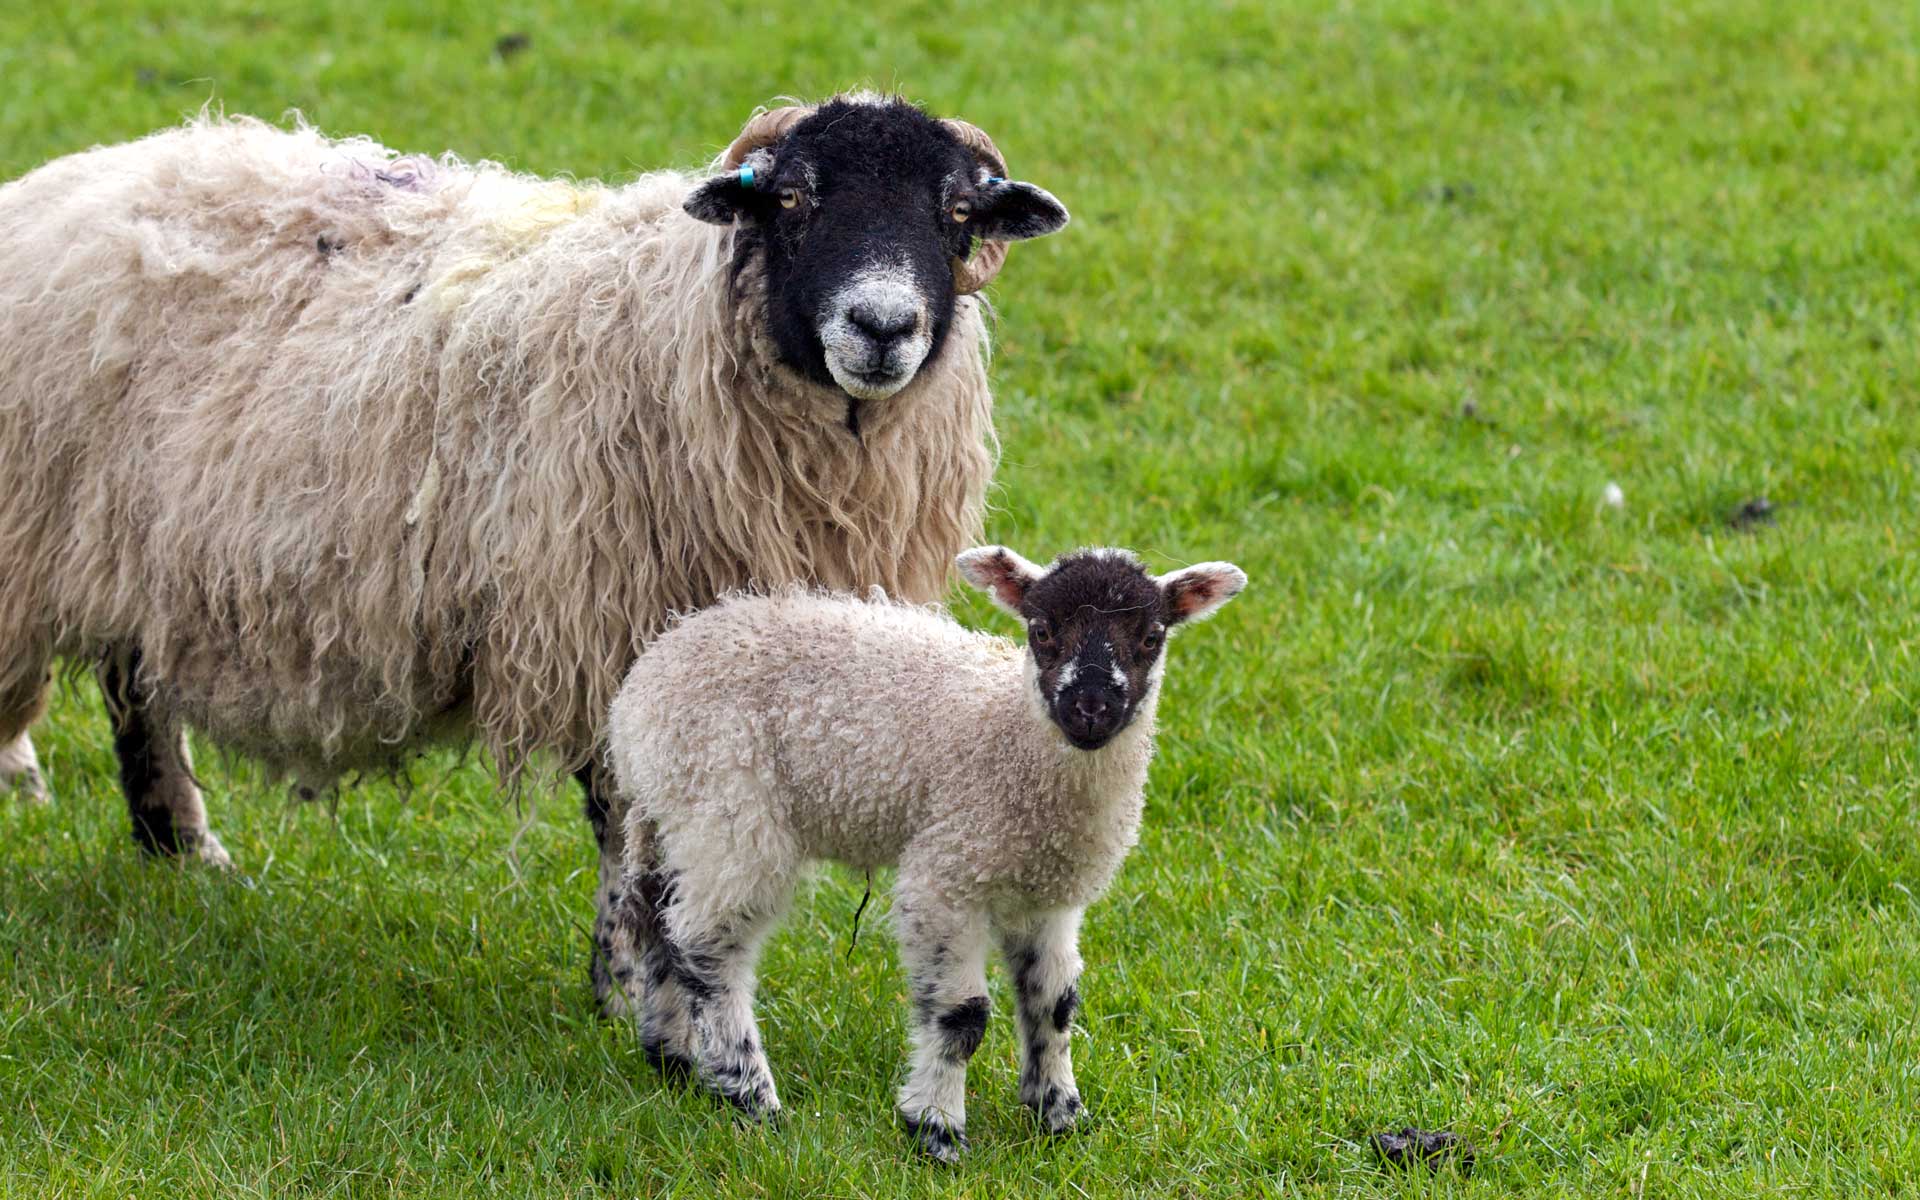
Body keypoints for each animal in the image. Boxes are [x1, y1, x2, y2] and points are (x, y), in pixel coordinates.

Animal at [0, 95, 1068, 1009]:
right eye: (795, 197)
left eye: (957, 211)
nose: (882, 326)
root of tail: (77, 176)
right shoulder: (612, 628)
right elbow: (625, 823)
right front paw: (629, 988)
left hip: (132, 548)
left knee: (133, 685)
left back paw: (180, 848)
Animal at [606, 545, 1248, 1160]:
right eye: (1042, 630)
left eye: (1151, 636)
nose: (1090, 708)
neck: (1012, 741)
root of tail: (642, 685)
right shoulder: (947, 874)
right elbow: (963, 1017)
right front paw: (935, 1130)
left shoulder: (1047, 895)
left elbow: (1055, 1005)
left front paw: (1060, 1117)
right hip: (730, 809)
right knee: (708, 945)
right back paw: (751, 1096)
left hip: (677, 817)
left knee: (658, 920)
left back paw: (674, 1058)